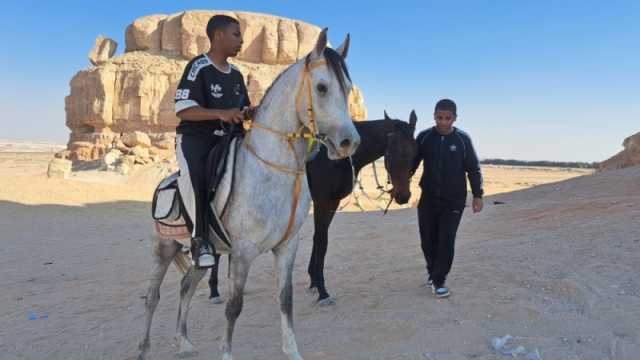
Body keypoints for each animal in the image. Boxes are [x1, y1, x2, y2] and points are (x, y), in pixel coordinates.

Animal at [138, 28, 360, 360]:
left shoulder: (286, 248)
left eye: (348, 89)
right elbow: (234, 307)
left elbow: (286, 300)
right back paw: (143, 349)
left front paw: (292, 351)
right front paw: (227, 354)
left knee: (186, 286)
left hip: (205, 254)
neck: (271, 170)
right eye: (322, 87)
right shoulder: (243, 252)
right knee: (153, 296)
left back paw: (184, 342)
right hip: (164, 247)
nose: (349, 142)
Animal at [206, 111, 420, 306]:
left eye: (414, 152)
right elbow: (322, 241)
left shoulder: (331, 202)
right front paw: (323, 291)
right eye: (390, 153)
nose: (403, 196)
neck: (335, 158)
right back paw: (214, 290)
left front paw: (315, 281)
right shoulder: (323, 201)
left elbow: (319, 240)